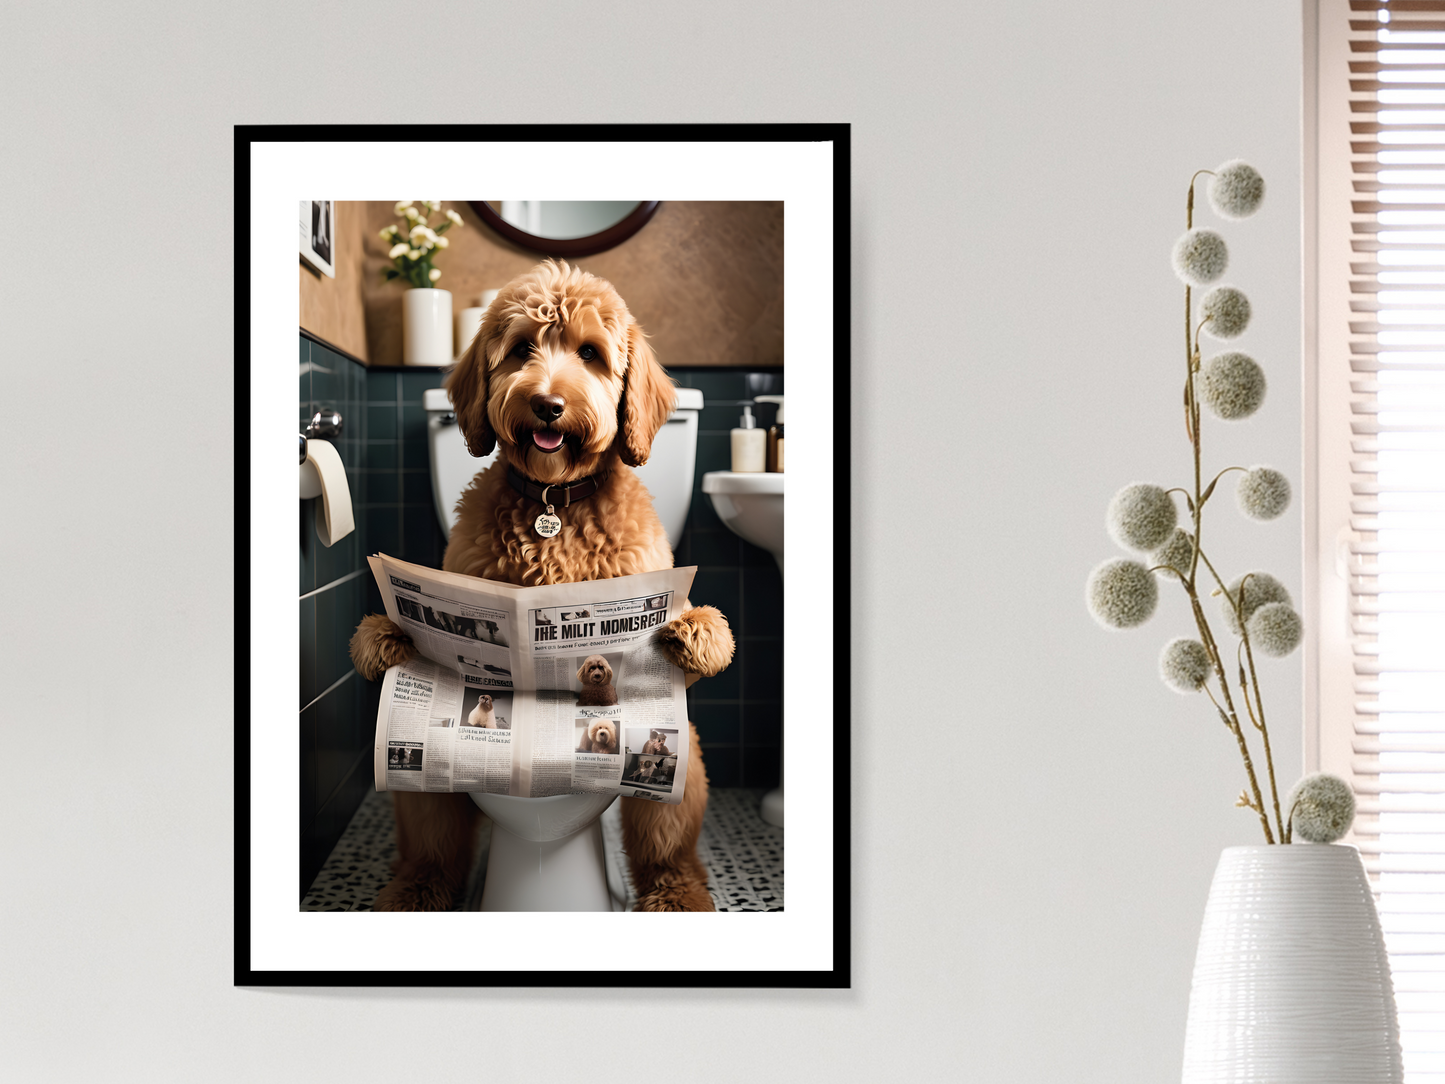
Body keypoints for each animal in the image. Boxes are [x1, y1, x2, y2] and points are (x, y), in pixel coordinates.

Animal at [349, 261, 734, 919]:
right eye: (522, 348)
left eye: (590, 353)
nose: (547, 404)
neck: (555, 501)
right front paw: (382, 637)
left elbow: (697, 641)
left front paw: (697, 632)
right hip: (427, 774)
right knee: (433, 835)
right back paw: (413, 892)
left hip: (684, 768)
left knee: (665, 841)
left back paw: (677, 895)